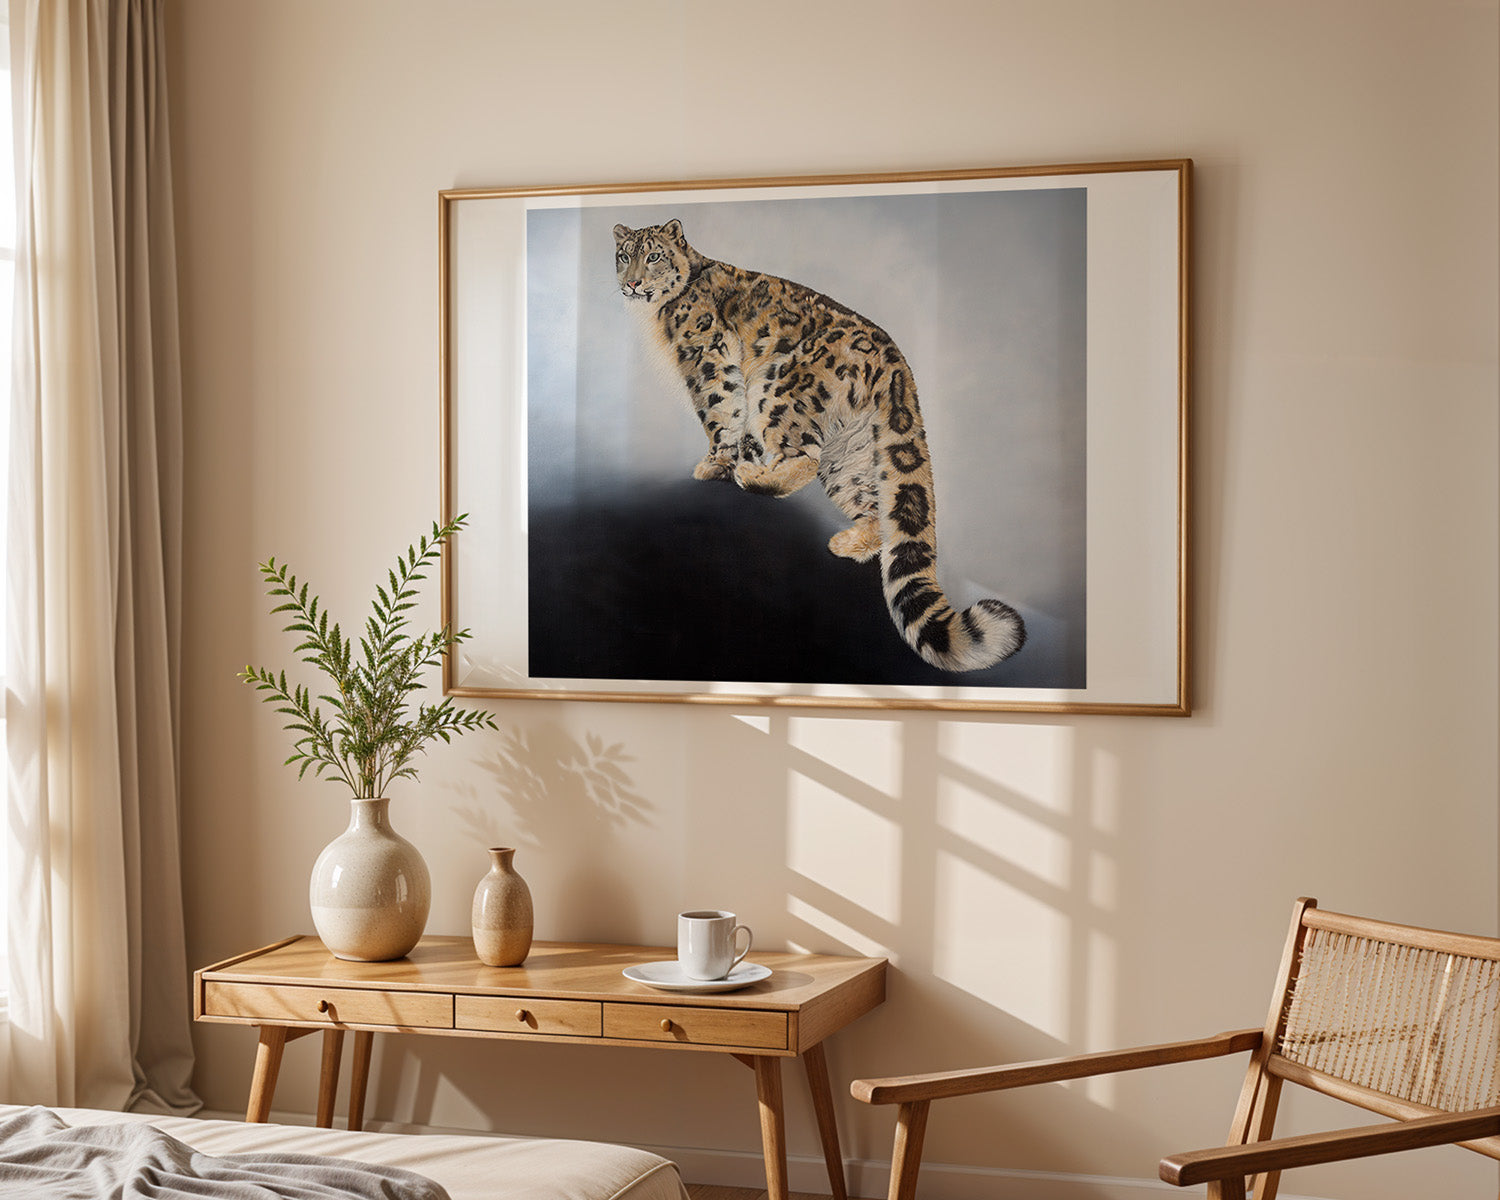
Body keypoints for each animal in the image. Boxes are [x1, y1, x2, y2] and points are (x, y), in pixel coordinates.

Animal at [613, 217, 1026, 673]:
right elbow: (740, 431)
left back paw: (754, 477)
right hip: (850, 455)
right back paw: (845, 541)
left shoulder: (706, 359)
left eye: (654, 255)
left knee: (804, 457)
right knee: (875, 509)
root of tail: (897, 362)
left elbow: (721, 410)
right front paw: (736, 459)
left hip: (779, 388)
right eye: (624, 255)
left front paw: (716, 464)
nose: (631, 283)